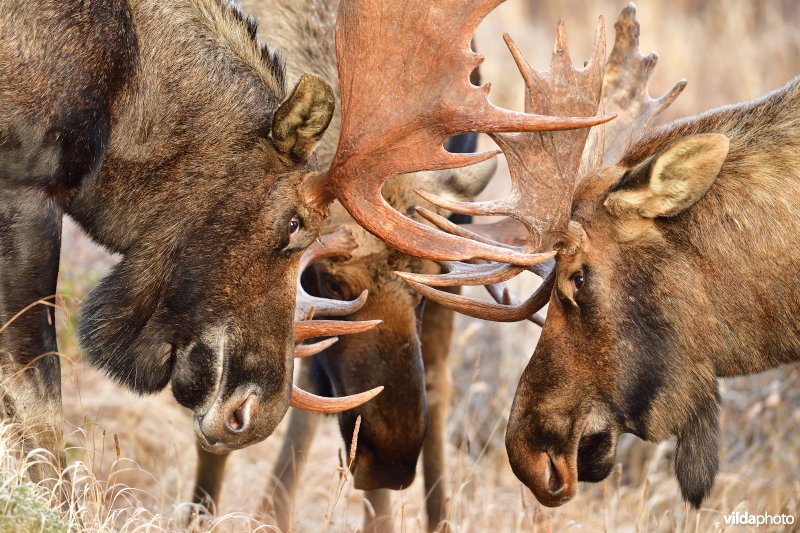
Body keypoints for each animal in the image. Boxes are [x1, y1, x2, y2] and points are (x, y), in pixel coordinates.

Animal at [0, 0, 608, 488]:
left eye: (428, 281)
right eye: (297, 226)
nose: (254, 413)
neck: (127, 94)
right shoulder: (26, 192)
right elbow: (38, 407)